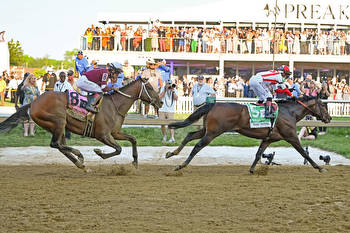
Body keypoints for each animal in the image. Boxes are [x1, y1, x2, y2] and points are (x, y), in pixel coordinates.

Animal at [0, 76, 161, 171]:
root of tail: (33, 103)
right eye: (150, 88)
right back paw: (80, 156)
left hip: (59, 127)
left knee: (60, 146)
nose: (160, 102)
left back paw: (80, 164)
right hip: (58, 121)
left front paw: (135, 162)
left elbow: (133, 139)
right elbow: (119, 149)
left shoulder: (115, 133)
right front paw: (99, 153)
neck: (115, 105)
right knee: (55, 144)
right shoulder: (103, 135)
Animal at [166, 94, 330, 173]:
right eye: (323, 105)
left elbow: (258, 154)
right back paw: (181, 165)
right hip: (213, 133)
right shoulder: (292, 137)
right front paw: (319, 168)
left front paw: (252, 169)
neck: (289, 112)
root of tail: (213, 104)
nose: (329, 118)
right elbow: (304, 153)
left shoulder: (268, 139)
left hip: (206, 130)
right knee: (197, 146)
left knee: (190, 135)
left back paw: (171, 153)